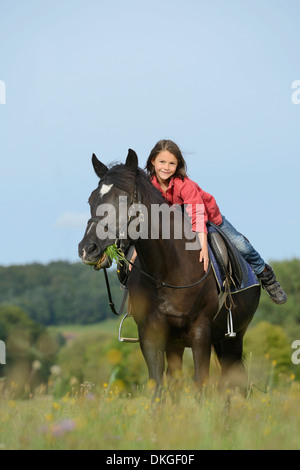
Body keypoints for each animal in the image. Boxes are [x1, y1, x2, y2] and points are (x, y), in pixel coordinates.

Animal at [79, 150, 260, 392]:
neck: (167, 272)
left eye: (123, 200)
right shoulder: (151, 335)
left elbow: (200, 383)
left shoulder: (201, 332)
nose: (87, 249)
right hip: (179, 343)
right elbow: (157, 384)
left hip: (234, 338)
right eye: (91, 200)